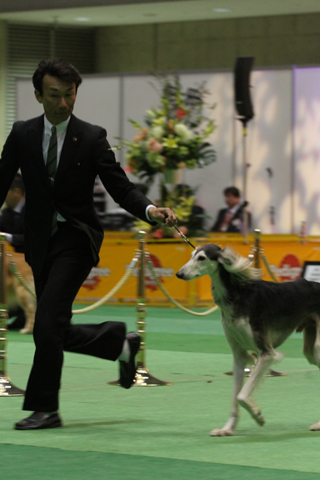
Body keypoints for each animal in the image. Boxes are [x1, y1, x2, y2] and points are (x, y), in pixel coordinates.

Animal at [176, 246, 320, 436]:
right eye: (192, 255)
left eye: (202, 258)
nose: (179, 274)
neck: (237, 293)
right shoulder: (238, 355)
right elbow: (235, 397)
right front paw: (227, 429)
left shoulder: (266, 352)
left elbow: (242, 396)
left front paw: (257, 415)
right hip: (311, 348)